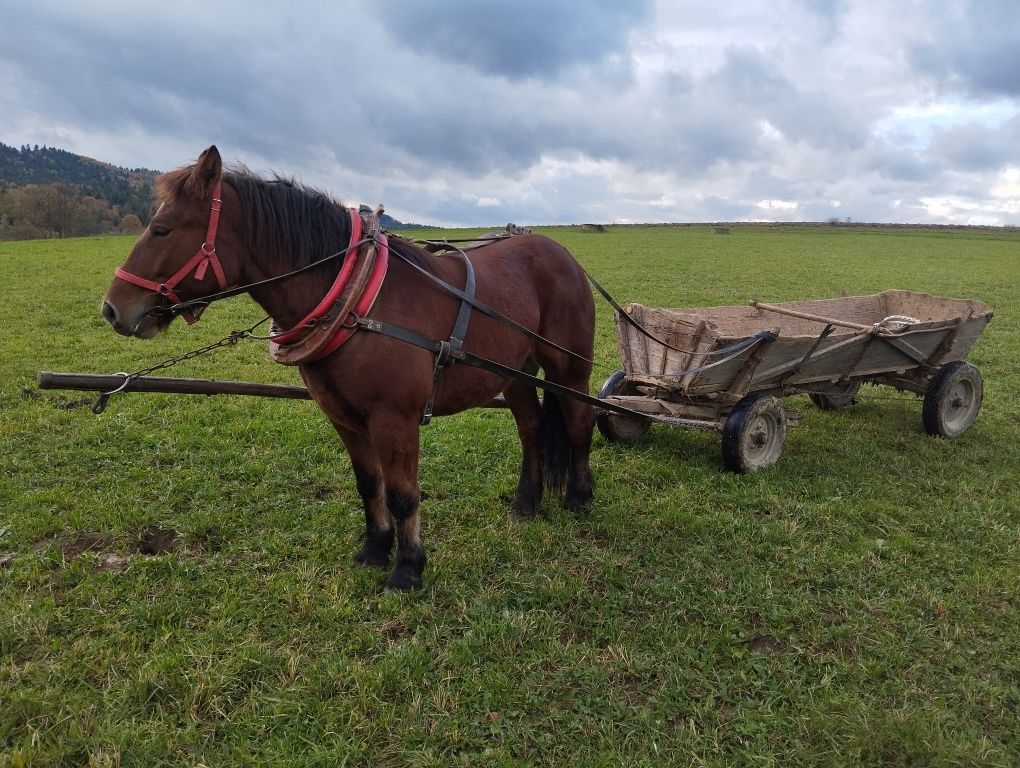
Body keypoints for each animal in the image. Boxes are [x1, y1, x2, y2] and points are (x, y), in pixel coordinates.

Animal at [99, 146, 595, 591]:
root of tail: (558, 251)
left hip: (569, 368)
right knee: (531, 428)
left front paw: (408, 568)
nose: (112, 309)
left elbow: (402, 495)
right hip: (514, 372)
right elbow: (368, 484)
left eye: (161, 230)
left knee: (578, 422)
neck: (358, 302)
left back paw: (579, 496)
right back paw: (526, 503)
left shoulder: (395, 420)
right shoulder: (346, 418)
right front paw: (375, 550)